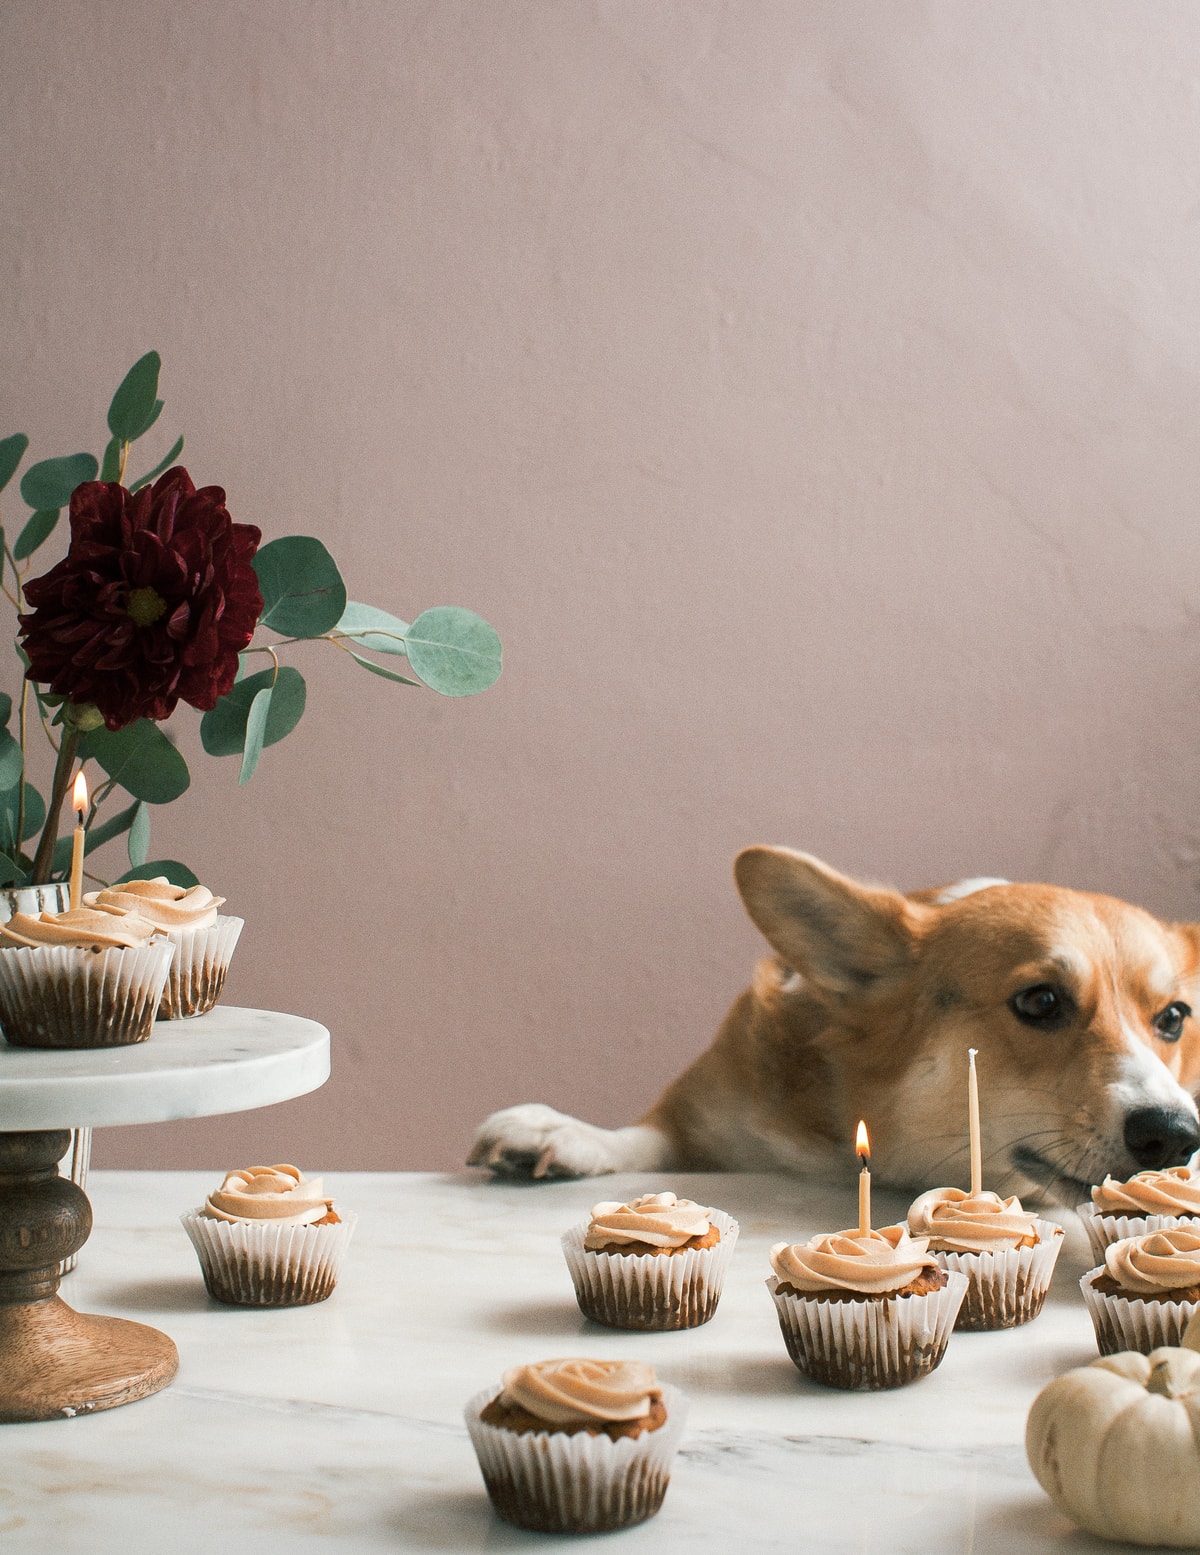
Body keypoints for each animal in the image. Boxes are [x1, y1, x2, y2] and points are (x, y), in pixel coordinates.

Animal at [466, 852, 1200, 1200]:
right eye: (1041, 1002)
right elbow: (644, 1138)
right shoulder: (705, 1121)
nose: (1177, 1135)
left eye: (1172, 1017)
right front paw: (564, 1133)